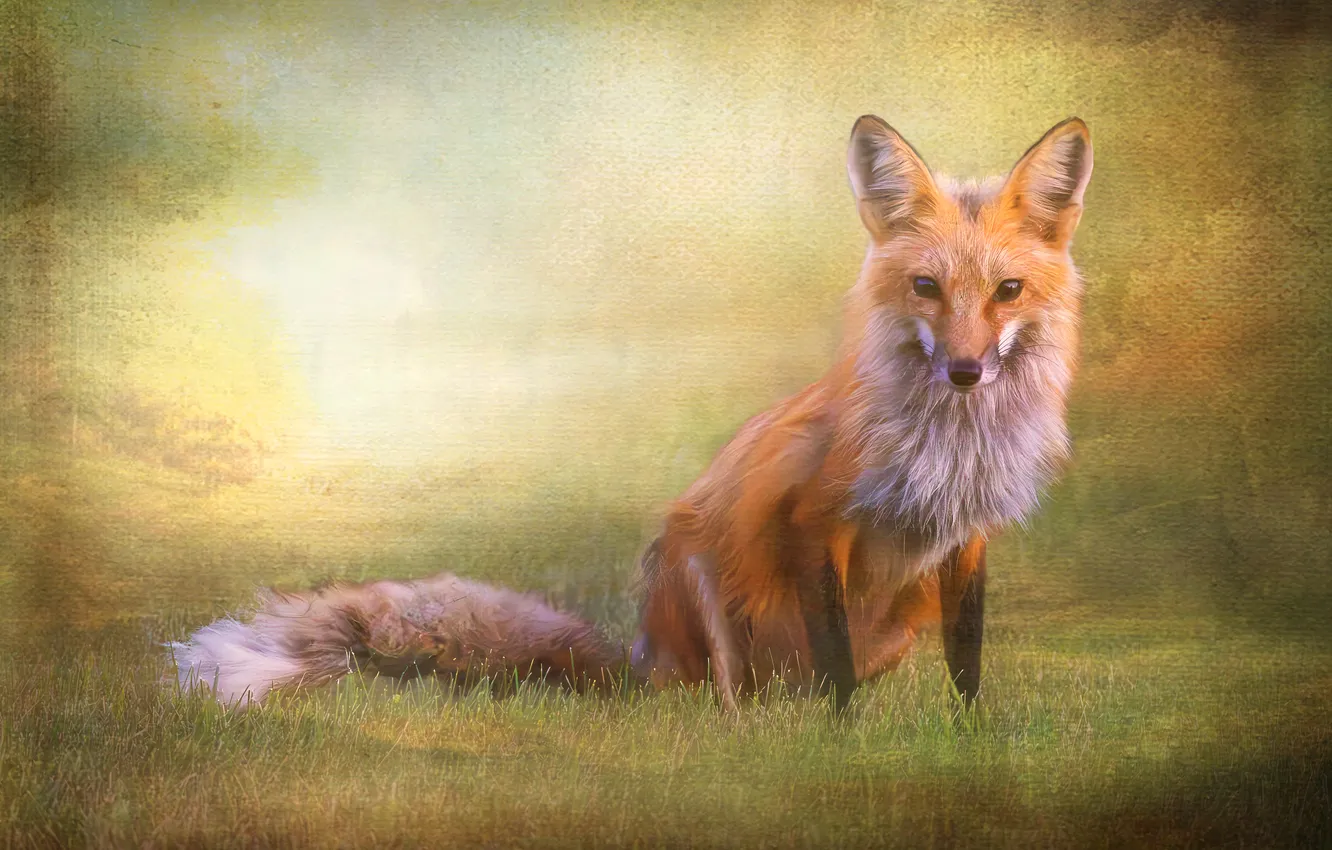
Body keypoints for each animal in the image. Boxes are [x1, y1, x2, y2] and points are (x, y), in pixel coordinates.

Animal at [171, 115, 1092, 711]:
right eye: (926, 287)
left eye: (1007, 291)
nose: (967, 371)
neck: (952, 444)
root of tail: (635, 668)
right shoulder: (812, 521)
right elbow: (834, 670)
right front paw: (841, 743)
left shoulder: (967, 541)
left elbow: (967, 661)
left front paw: (969, 738)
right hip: (693, 560)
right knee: (721, 695)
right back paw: (740, 728)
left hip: (888, 623)